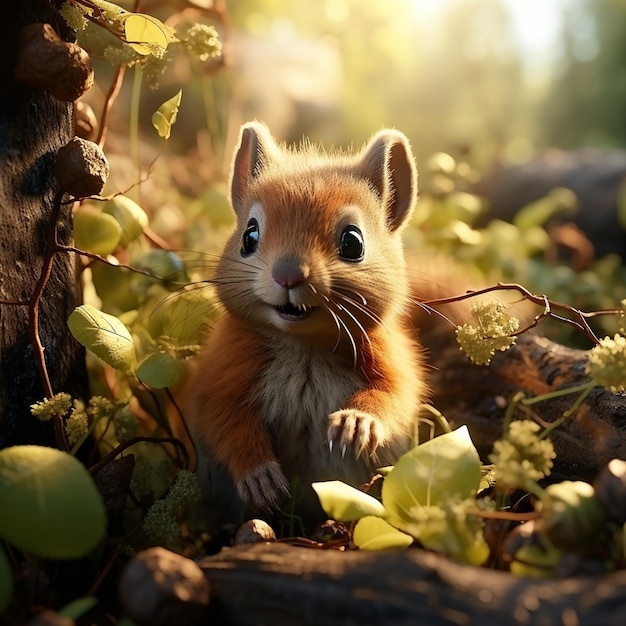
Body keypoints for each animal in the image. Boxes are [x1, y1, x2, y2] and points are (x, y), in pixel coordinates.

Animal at [185, 122, 426, 520]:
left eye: (353, 242)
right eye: (249, 235)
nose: (287, 275)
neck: (304, 345)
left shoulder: (392, 363)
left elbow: (394, 398)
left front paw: (356, 422)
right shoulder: (219, 374)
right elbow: (224, 421)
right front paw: (260, 477)